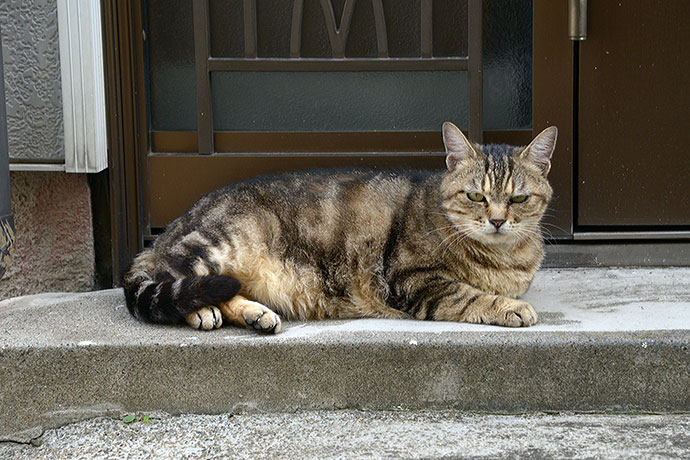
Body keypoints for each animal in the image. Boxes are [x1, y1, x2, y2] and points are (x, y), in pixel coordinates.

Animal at [122, 121, 552, 330]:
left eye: (518, 199)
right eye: (476, 196)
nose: (497, 220)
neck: (502, 258)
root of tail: (167, 231)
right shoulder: (412, 280)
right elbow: (469, 296)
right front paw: (512, 308)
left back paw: (250, 314)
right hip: (219, 243)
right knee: (165, 281)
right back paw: (201, 310)